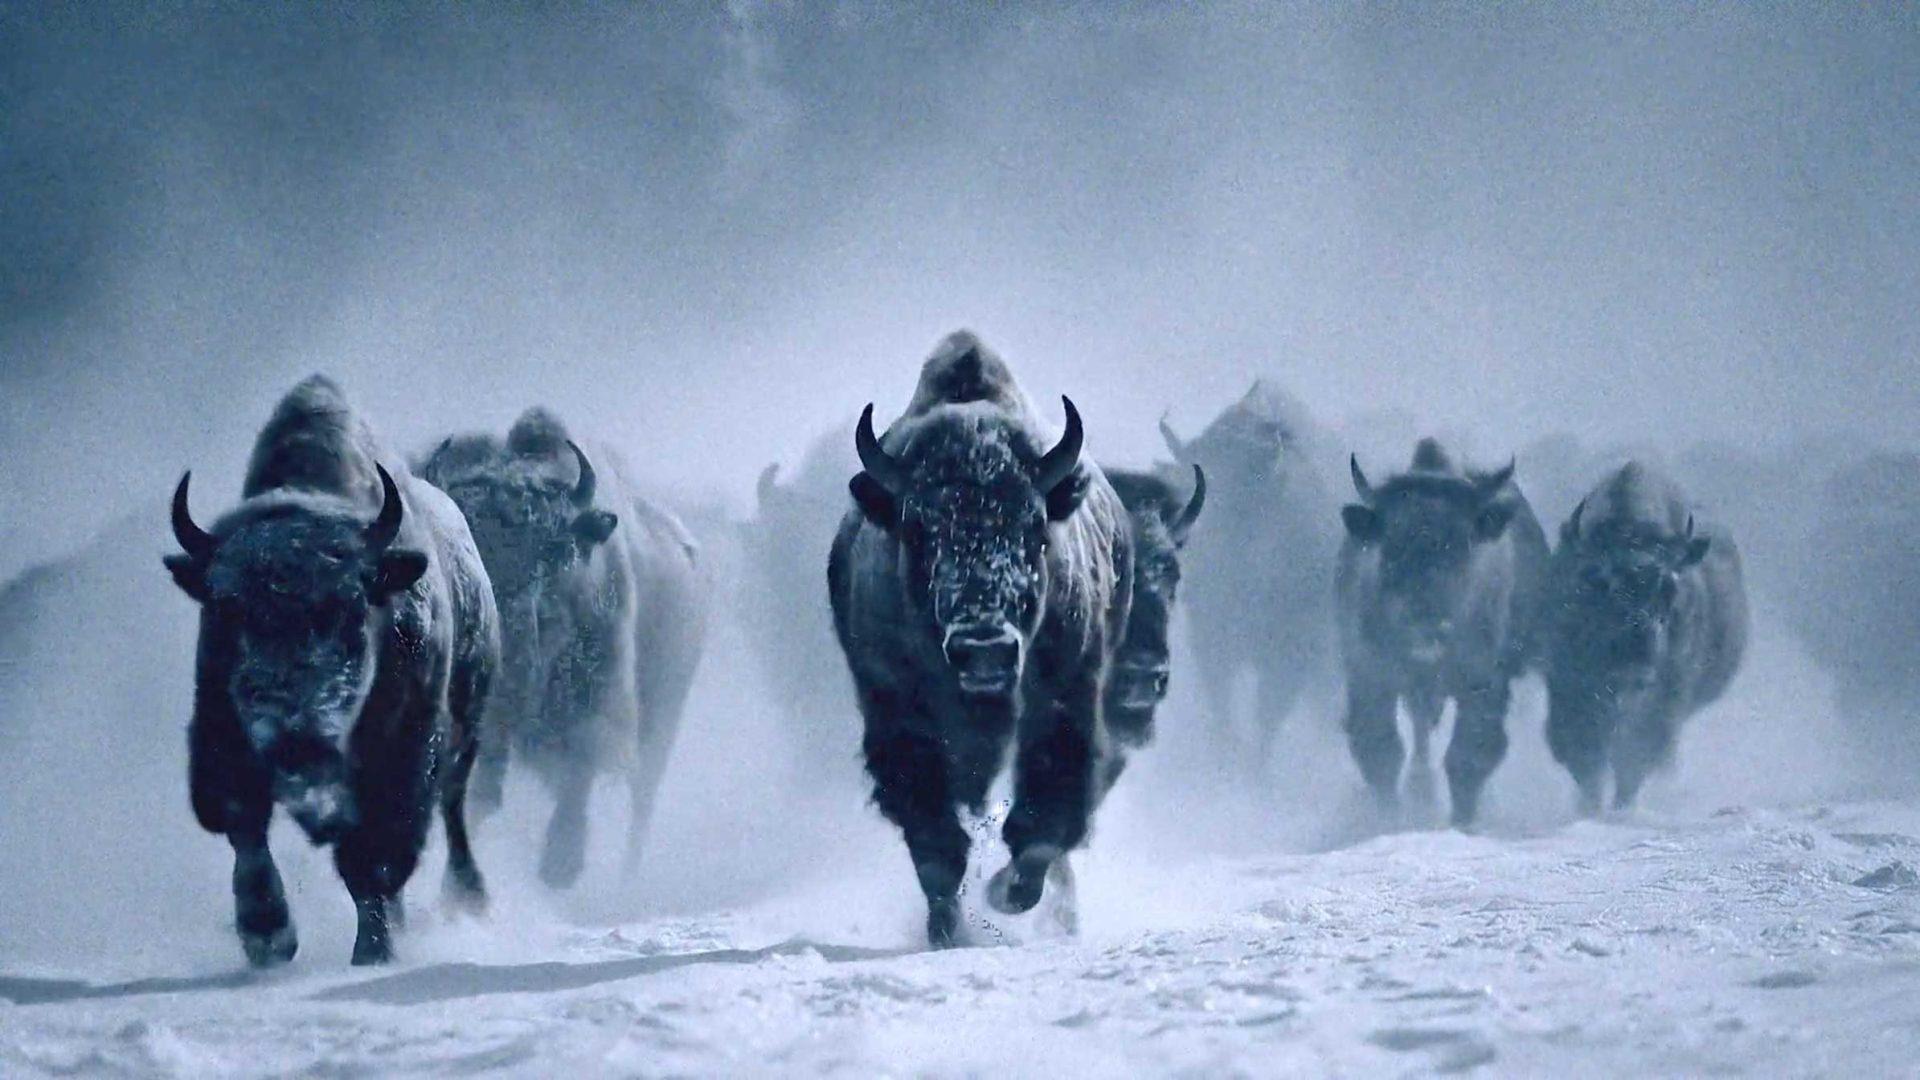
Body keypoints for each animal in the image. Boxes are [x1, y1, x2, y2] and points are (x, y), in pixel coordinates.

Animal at [165, 375, 500, 966]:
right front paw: (267, 937)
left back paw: (466, 902)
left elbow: (373, 859)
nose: (296, 741)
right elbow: (244, 825)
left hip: (466, 735)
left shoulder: (402, 756)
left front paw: (372, 952)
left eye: (350, 605)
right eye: (226, 606)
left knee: (452, 813)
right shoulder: (221, 735)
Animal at [418, 409, 708, 889]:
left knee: (641, 803)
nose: (511, 646)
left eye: (554, 551)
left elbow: (580, 767)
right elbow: (484, 791)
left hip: (662, 724)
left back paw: (625, 879)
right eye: (465, 548)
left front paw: (561, 864)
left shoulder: (597, 702)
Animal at [828, 331, 1133, 947]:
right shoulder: (897, 716)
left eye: (1034, 526)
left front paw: (1005, 894)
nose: (984, 648)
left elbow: (1044, 819)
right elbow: (934, 840)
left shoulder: (1064, 699)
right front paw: (946, 928)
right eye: (917, 528)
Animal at [1336, 438, 1550, 827]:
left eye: (1463, 545)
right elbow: (1380, 750)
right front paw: (1391, 818)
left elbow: (1469, 755)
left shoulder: (1483, 683)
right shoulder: (1371, 676)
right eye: (1390, 546)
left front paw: (1461, 822)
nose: (1426, 622)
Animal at [1542, 461, 1749, 812]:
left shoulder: (1664, 702)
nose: (1635, 655)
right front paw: (1591, 808)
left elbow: (1633, 761)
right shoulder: (1570, 689)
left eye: (1669, 585)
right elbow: (1587, 758)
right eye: (1598, 581)